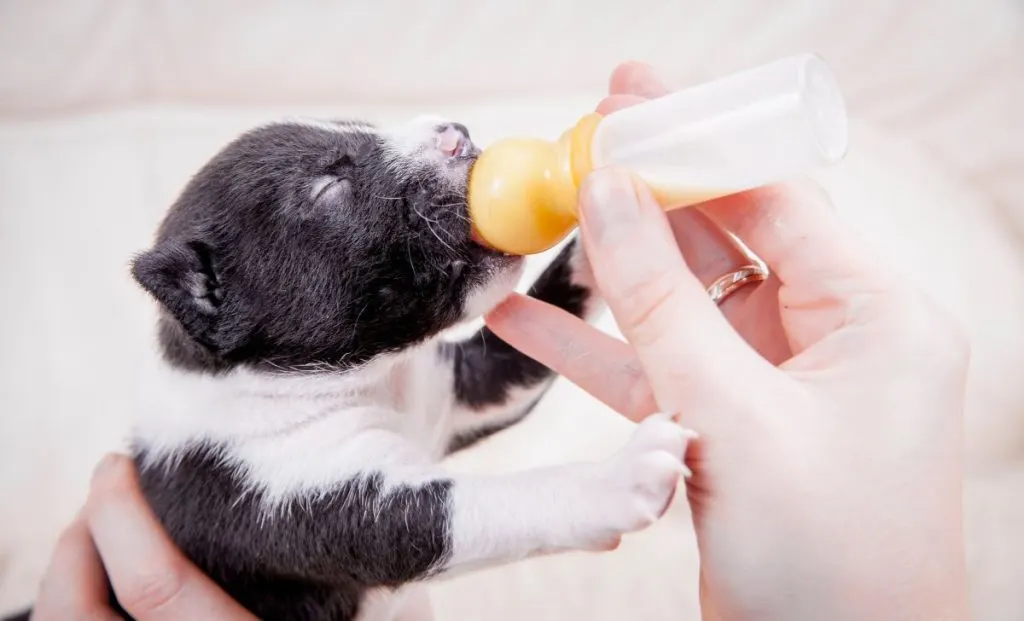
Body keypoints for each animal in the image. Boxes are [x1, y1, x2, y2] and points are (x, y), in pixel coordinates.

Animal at [8, 115, 692, 621]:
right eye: (327, 188)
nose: (457, 131)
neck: (364, 381)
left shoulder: (466, 388)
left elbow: (536, 326)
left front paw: (606, 210)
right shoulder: (320, 503)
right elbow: (498, 504)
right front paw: (623, 475)